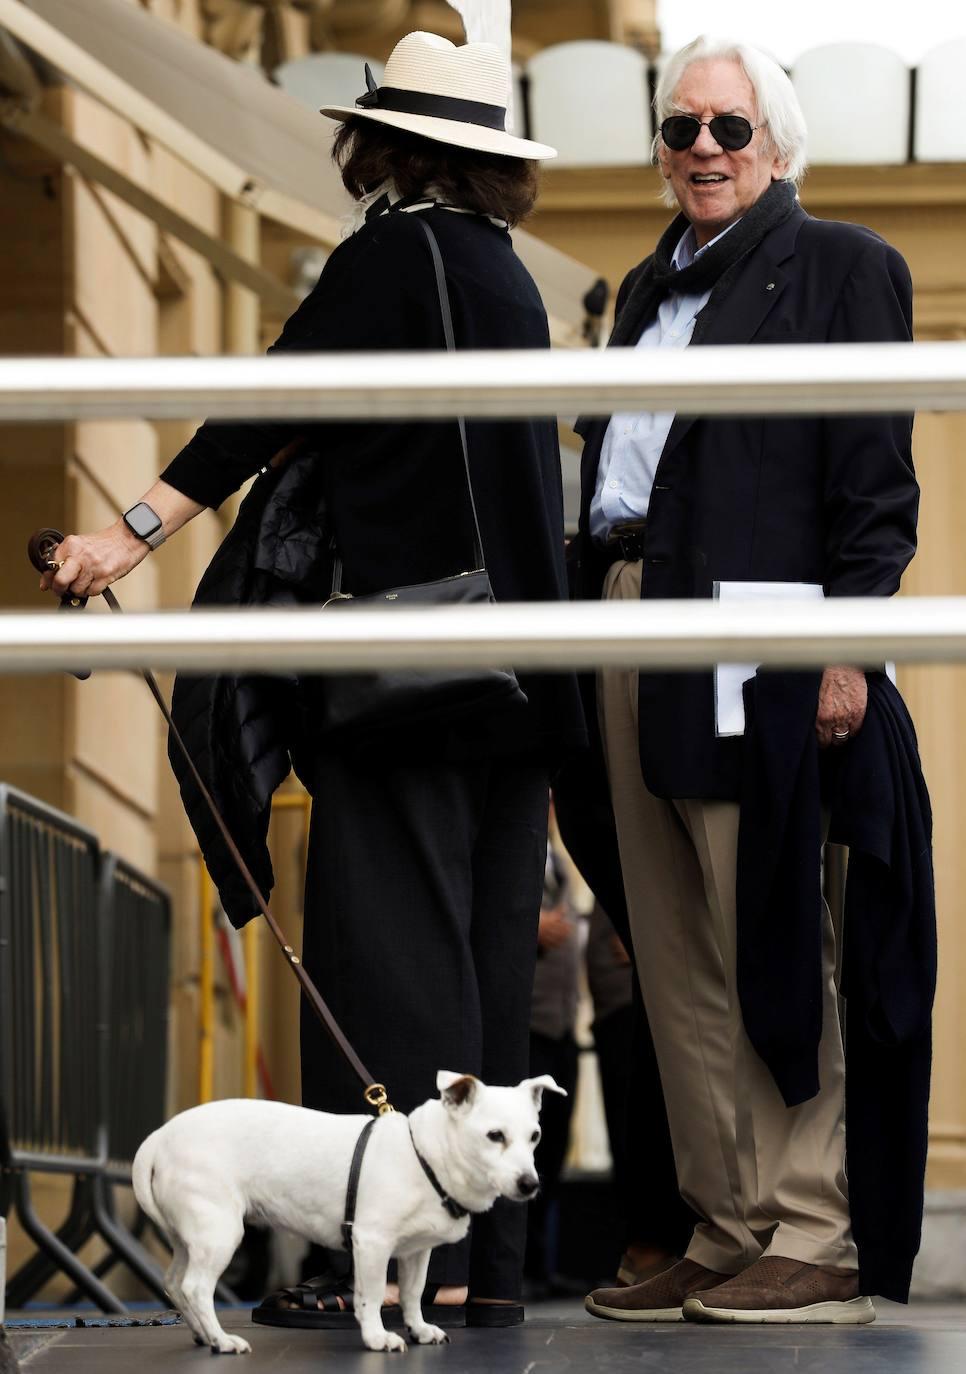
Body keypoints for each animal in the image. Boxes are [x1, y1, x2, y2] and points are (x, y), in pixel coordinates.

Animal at [131, 1071, 563, 1352]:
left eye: (535, 1136)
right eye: (494, 1136)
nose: (530, 1184)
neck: (425, 1154)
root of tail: (159, 1138)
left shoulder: (416, 1252)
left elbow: (413, 1293)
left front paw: (419, 1329)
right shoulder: (371, 1244)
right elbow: (370, 1295)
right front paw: (377, 1337)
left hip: (190, 1237)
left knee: (174, 1282)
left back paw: (204, 1334)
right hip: (219, 1233)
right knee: (195, 1287)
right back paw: (221, 1340)